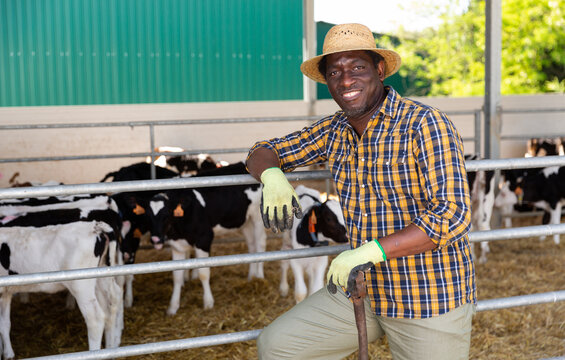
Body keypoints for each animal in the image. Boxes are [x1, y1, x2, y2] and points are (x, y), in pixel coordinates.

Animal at [0, 221, 123, 358]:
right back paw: (110, 350)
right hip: (102, 277)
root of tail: (95, 226)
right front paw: (8, 354)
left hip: (81, 286)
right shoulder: (5, 293)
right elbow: (5, 324)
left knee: (95, 319)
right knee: (112, 303)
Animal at [149, 162, 266, 314]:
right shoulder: (177, 246)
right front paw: (173, 307)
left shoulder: (204, 239)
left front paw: (208, 302)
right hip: (245, 221)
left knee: (260, 244)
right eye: (148, 215)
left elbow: (203, 273)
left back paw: (260, 277)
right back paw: (251, 277)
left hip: (258, 216)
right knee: (252, 246)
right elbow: (177, 276)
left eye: (166, 214)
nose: (155, 239)